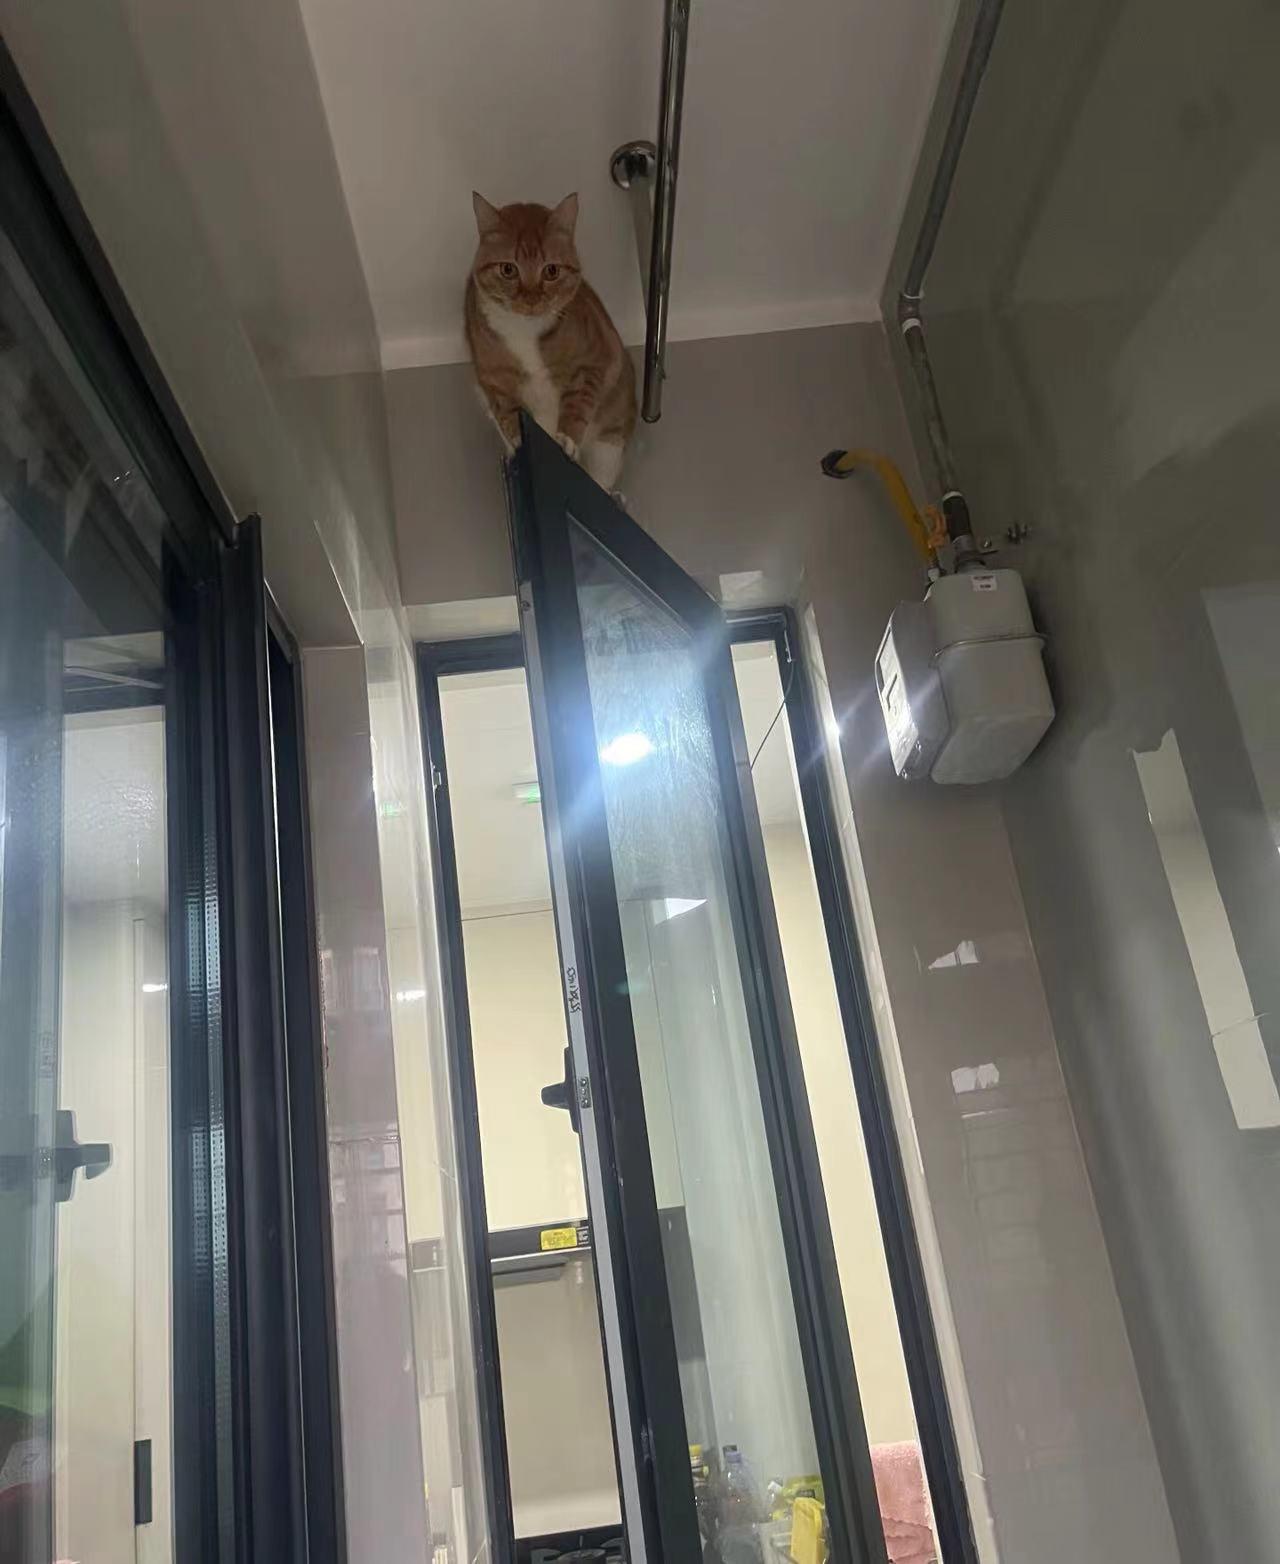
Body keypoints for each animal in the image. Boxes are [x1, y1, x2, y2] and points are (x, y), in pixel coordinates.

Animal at [465, 191, 636, 492]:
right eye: (508, 269)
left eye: (551, 271)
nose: (531, 298)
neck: (525, 331)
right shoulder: (493, 381)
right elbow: (508, 412)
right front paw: (518, 441)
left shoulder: (595, 362)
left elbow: (579, 402)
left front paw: (566, 437)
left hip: (610, 443)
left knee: (601, 480)